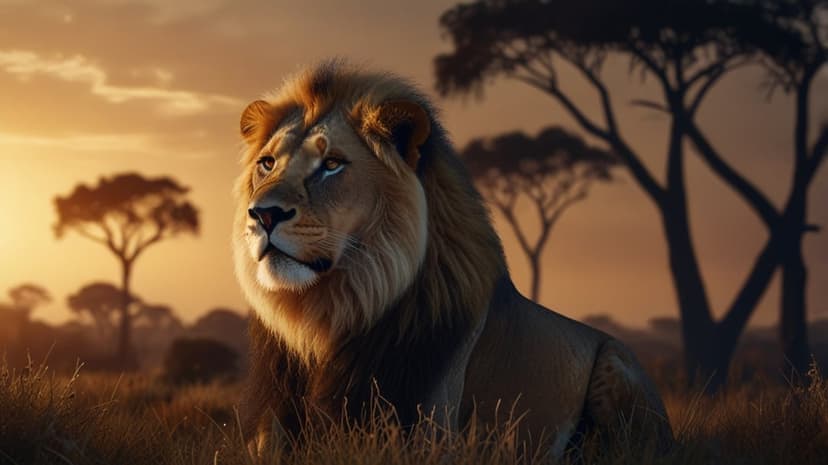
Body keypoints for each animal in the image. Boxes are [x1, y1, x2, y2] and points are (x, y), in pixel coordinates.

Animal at [233, 61, 672, 457]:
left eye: (331, 165)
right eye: (267, 163)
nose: (263, 214)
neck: (325, 318)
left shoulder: (430, 434)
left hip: (614, 363)